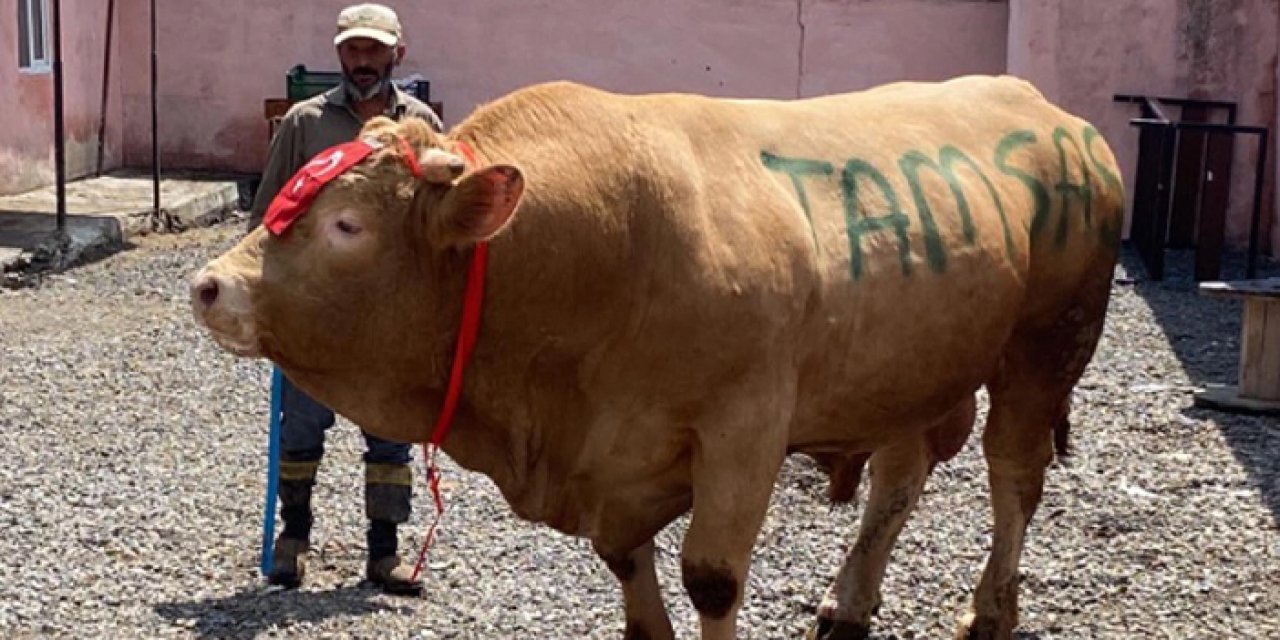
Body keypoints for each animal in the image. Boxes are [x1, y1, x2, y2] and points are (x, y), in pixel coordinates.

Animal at [186, 72, 1121, 637]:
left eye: (347, 224)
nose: (210, 286)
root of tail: (1053, 113)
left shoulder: (745, 429)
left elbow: (710, 577)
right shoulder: (613, 464)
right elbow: (628, 567)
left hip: (1047, 347)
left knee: (1014, 479)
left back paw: (990, 611)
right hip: (906, 369)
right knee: (898, 481)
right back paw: (849, 603)